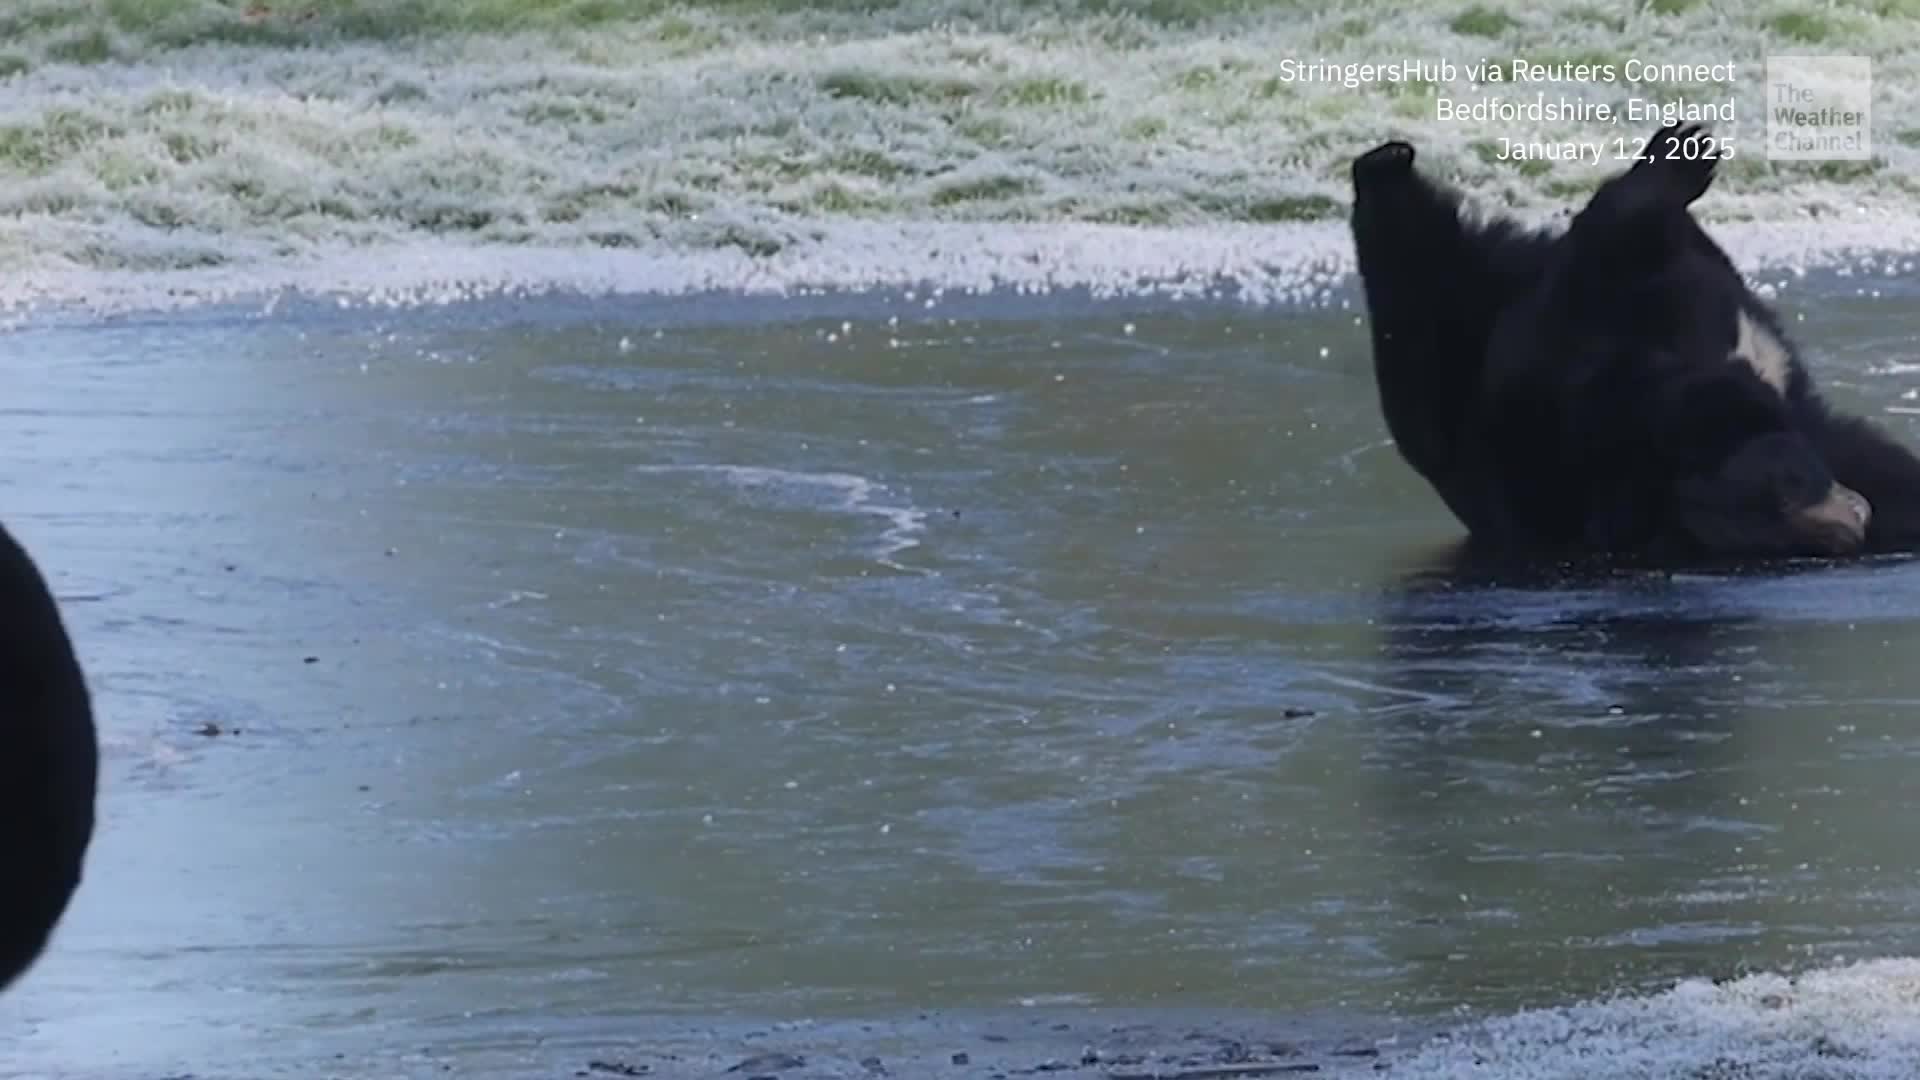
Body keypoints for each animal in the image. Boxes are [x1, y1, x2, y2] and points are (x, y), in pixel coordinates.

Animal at [1350, 122, 1920, 563]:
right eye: (1787, 491)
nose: (1853, 522)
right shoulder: (1569, 379)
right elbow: (1599, 256)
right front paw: (1676, 160)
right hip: (1438, 358)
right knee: (1408, 271)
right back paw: (1383, 172)